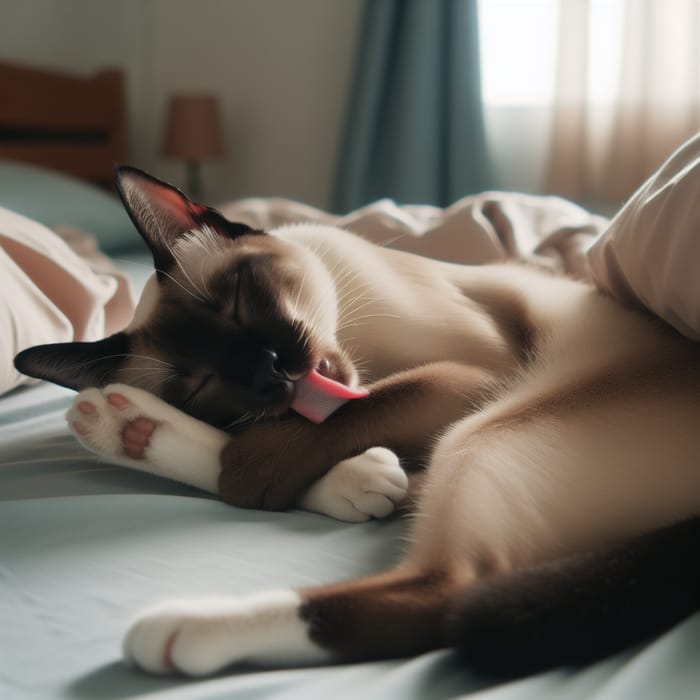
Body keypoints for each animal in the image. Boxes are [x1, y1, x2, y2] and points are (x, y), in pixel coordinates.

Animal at [15, 167, 700, 676]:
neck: (357, 340)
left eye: (233, 303)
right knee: (429, 549)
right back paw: (126, 429)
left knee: (447, 594)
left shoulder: (476, 376)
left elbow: (358, 409)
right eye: (201, 383)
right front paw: (344, 478)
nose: (270, 372)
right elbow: (334, 428)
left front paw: (256, 468)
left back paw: (181, 627)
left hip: (492, 425)